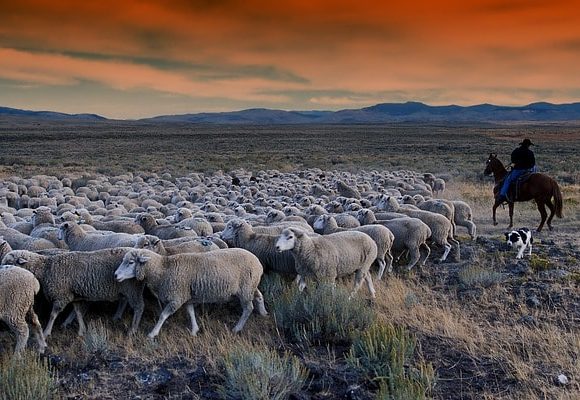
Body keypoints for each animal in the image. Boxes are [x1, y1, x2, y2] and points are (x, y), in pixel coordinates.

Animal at [2, 247, 145, 338]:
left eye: (9, 262)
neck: (46, 268)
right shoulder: (73, 295)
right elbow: (78, 312)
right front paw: (82, 330)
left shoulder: (61, 295)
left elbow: (53, 315)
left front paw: (47, 331)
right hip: (127, 289)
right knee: (128, 302)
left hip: (132, 288)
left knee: (139, 307)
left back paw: (132, 330)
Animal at [114, 247, 268, 338]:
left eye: (131, 262)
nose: (115, 275)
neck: (163, 269)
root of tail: (258, 262)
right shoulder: (186, 296)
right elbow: (190, 312)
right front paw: (194, 330)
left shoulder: (176, 297)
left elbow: (163, 315)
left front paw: (152, 333)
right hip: (251, 286)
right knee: (259, 297)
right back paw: (263, 313)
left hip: (245, 289)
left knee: (248, 308)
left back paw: (237, 328)